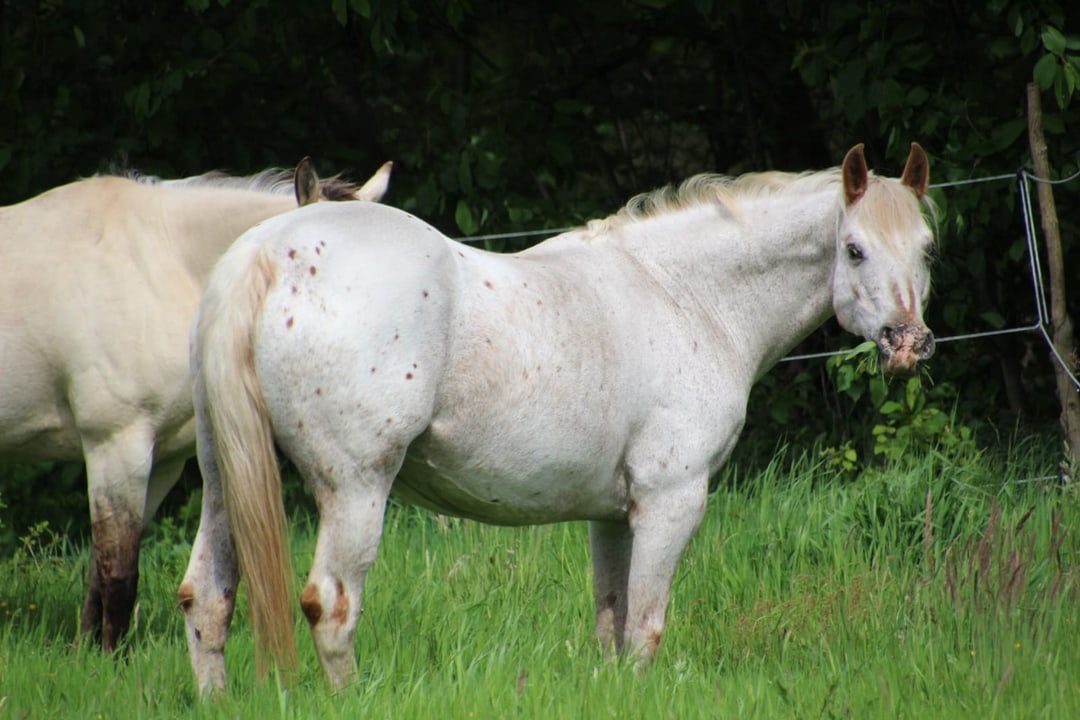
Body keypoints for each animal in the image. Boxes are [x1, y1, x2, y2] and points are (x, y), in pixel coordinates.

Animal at [0, 158, 390, 651]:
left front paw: (85, 653)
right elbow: (118, 573)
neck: (161, 263)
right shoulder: (115, 447)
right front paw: (109, 659)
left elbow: (100, 572)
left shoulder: (160, 462)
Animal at [181, 142, 933, 690]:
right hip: (358, 490)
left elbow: (612, 623)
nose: (909, 345)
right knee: (332, 607)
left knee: (206, 600)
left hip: (224, 478)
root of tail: (268, 252)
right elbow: (645, 627)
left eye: (926, 249)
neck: (685, 294)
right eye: (855, 249)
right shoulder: (672, 501)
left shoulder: (614, 515)